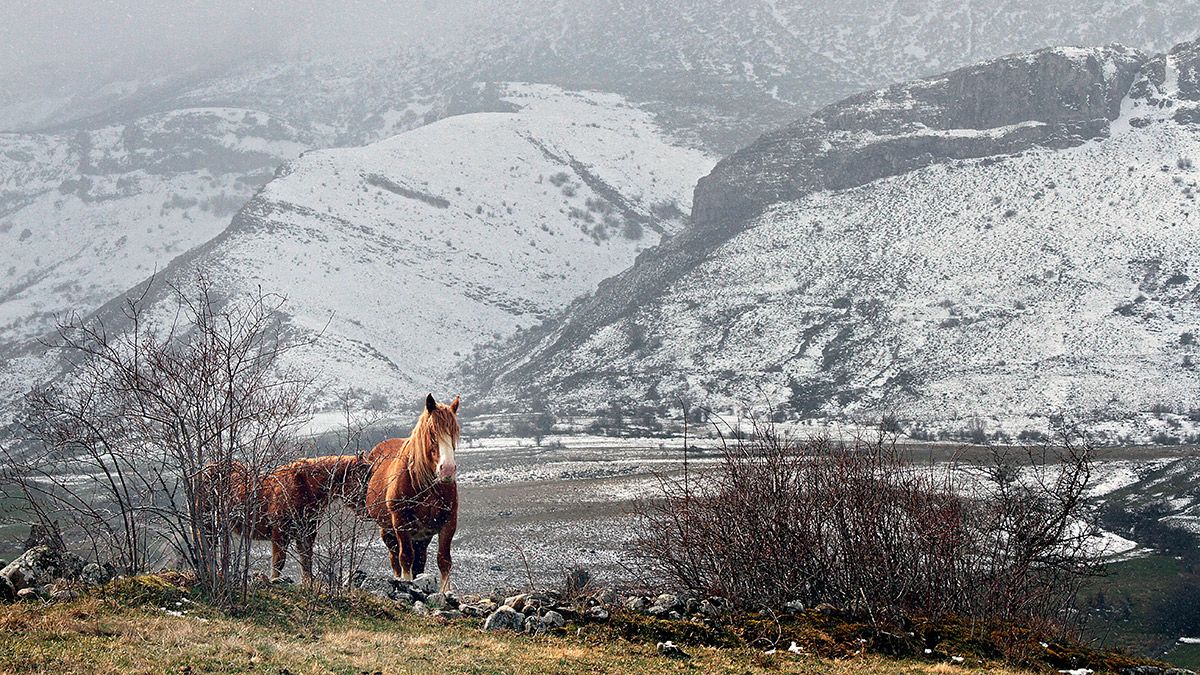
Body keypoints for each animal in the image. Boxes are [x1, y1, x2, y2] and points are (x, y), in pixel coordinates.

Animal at [196, 454, 369, 581]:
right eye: (363, 479)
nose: (368, 509)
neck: (305, 487)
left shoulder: (306, 533)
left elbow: (306, 560)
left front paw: (308, 584)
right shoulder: (280, 531)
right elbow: (279, 561)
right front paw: (275, 580)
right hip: (207, 521)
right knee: (206, 544)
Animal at [364, 391, 458, 590]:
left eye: (455, 433)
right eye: (432, 433)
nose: (447, 470)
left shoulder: (449, 521)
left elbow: (444, 560)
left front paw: (445, 592)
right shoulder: (400, 522)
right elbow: (405, 557)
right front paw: (407, 584)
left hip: (422, 537)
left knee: (420, 560)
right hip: (388, 530)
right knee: (395, 558)